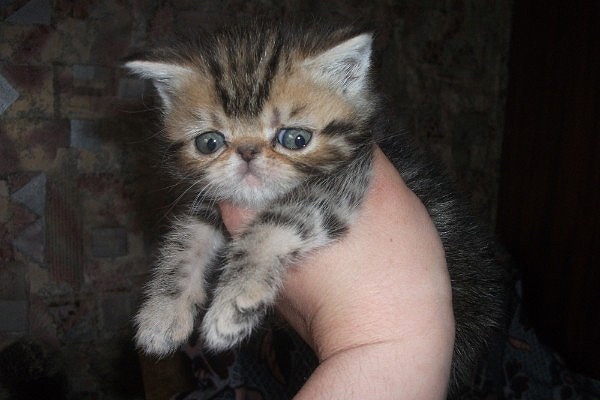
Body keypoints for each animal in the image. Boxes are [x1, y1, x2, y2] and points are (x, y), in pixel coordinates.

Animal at [125, 21, 506, 394]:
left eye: (295, 139)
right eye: (209, 142)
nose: (247, 153)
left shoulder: (346, 179)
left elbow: (273, 223)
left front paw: (235, 300)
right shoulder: (213, 200)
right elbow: (185, 240)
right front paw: (161, 315)